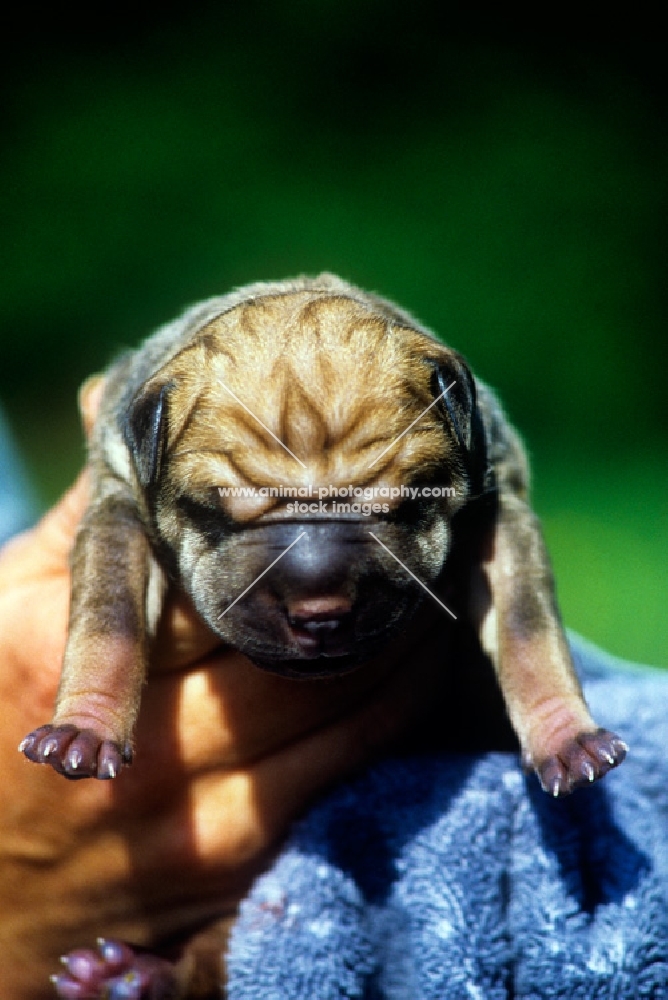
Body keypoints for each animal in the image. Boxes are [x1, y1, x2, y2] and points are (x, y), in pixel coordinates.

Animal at [20, 274, 628, 1000]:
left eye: (401, 506)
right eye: (225, 510)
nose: (320, 608)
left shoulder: (500, 504)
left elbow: (526, 623)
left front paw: (565, 736)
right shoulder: (116, 500)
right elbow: (107, 617)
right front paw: (84, 727)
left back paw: (135, 977)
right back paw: (125, 977)